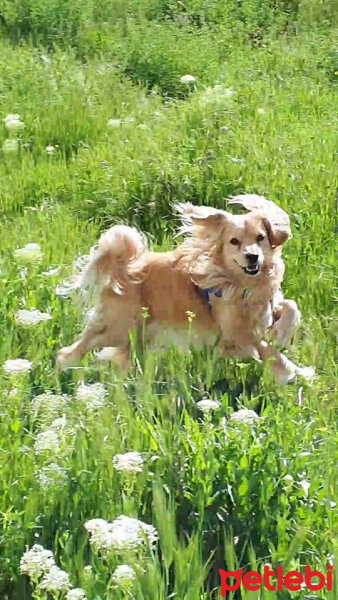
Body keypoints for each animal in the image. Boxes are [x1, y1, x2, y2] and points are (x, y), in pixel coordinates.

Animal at [57, 197, 314, 384]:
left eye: (260, 237)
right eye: (234, 241)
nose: (253, 256)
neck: (243, 284)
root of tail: (126, 267)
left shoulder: (267, 306)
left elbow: (291, 307)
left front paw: (282, 333)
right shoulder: (235, 336)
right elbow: (269, 352)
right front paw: (293, 371)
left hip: (137, 335)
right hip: (116, 327)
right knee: (78, 346)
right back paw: (65, 367)